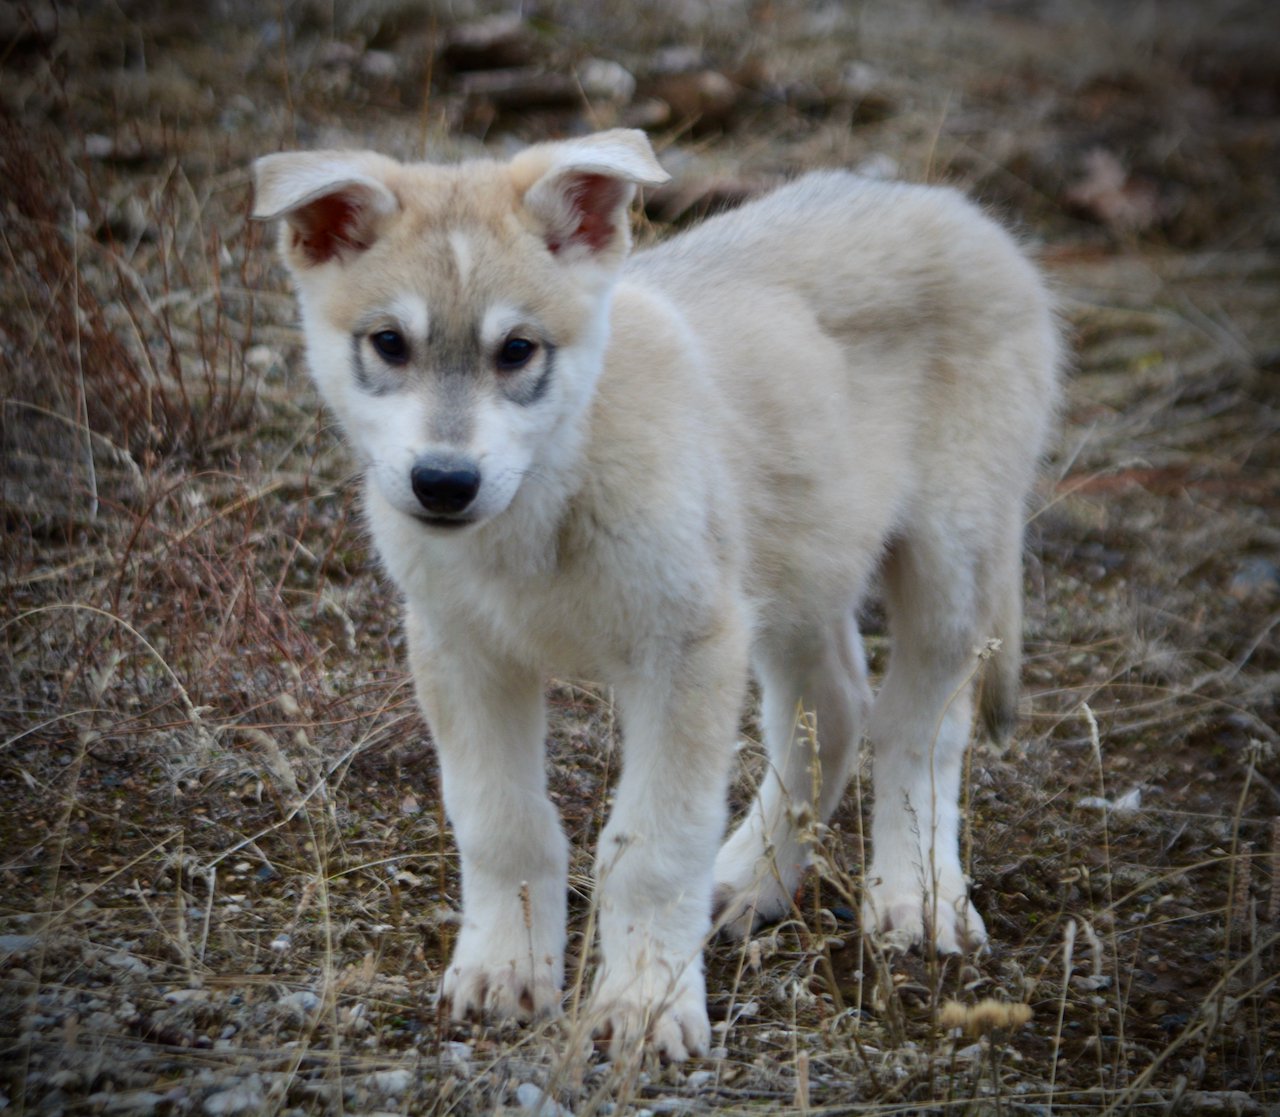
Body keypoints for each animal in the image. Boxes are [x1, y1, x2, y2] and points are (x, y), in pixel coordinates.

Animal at [249, 126, 1059, 1059]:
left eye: (517, 350)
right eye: (388, 343)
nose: (443, 484)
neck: (551, 493)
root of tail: (958, 208)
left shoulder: (686, 648)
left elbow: (652, 847)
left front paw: (646, 1004)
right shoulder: (462, 648)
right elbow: (501, 824)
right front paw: (503, 970)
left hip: (950, 553)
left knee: (919, 726)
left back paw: (916, 895)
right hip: (795, 566)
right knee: (835, 706)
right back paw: (749, 879)